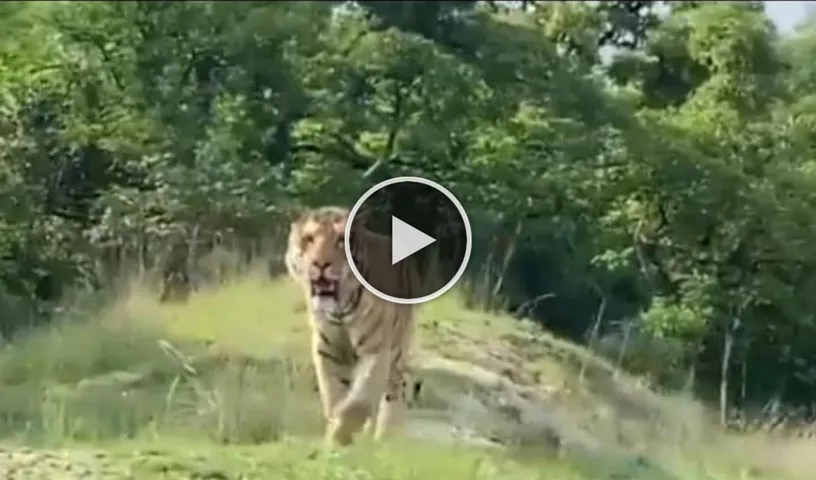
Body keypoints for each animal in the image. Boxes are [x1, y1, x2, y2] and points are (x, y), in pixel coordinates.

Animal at [285, 205, 425, 446]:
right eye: (309, 238)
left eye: (341, 240)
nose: (320, 265)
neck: (339, 309)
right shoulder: (327, 349)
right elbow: (333, 395)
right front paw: (335, 435)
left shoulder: (376, 350)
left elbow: (358, 402)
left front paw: (340, 436)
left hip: (398, 351)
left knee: (396, 390)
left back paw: (385, 439)